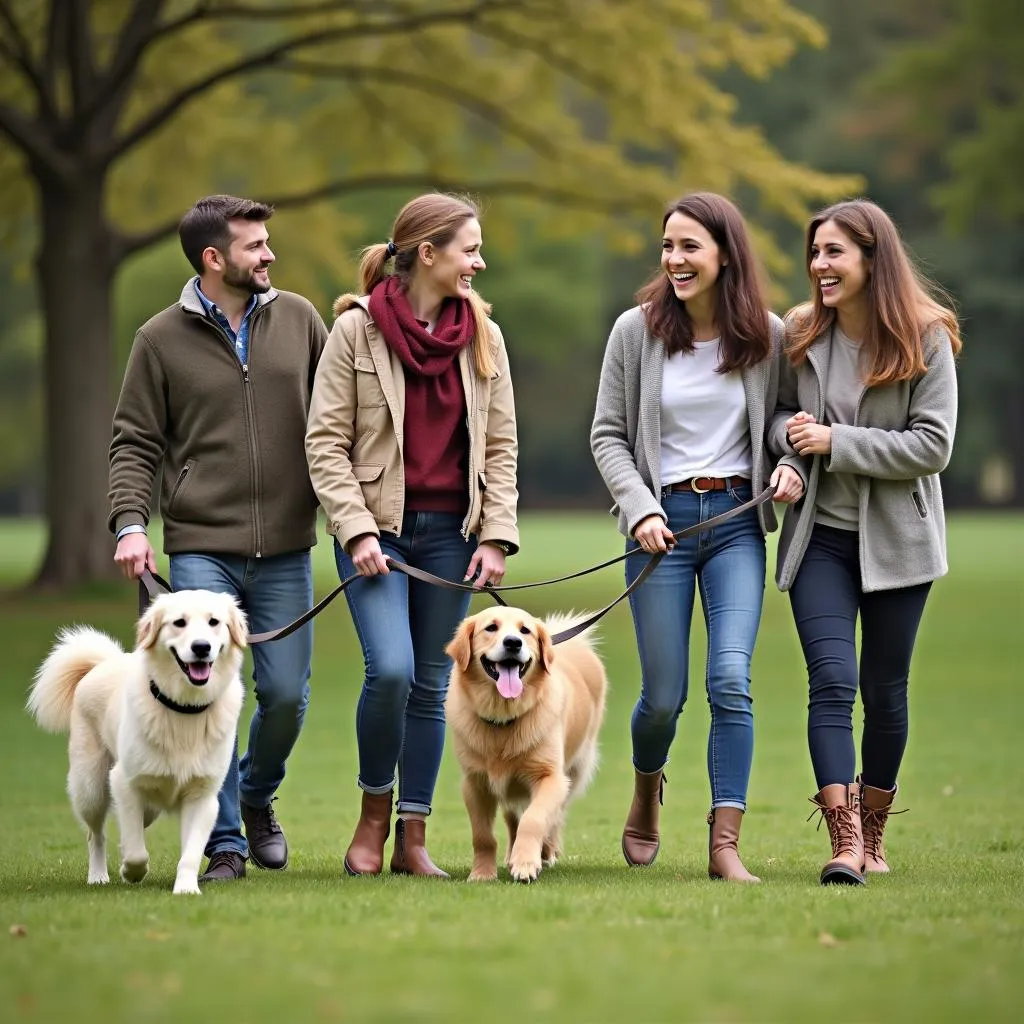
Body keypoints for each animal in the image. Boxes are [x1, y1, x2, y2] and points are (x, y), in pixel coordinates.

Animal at [27, 593, 247, 897]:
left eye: (214, 622)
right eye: (179, 622)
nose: (201, 647)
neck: (184, 708)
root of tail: (102, 663)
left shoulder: (202, 795)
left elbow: (189, 853)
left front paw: (186, 888)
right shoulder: (125, 783)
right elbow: (135, 851)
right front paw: (131, 873)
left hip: (148, 806)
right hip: (91, 788)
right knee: (96, 834)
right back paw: (98, 876)